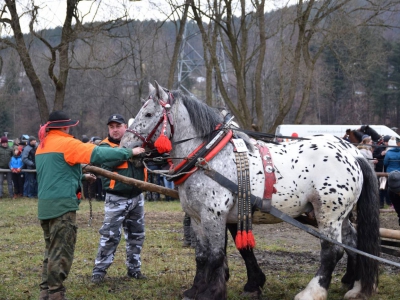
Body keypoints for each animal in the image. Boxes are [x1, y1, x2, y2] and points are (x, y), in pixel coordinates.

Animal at [122, 82, 382, 300]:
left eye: (148, 114)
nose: (125, 146)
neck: (208, 156)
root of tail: (353, 153)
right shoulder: (197, 217)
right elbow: (202, 255)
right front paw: (195, 290)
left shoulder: (214, 215)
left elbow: (216, 255)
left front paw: (211, 292)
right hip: (342, 214)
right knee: (353, 242)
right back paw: (355, 285)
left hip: (327, 213)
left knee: (332, 250)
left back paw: (312, 292)